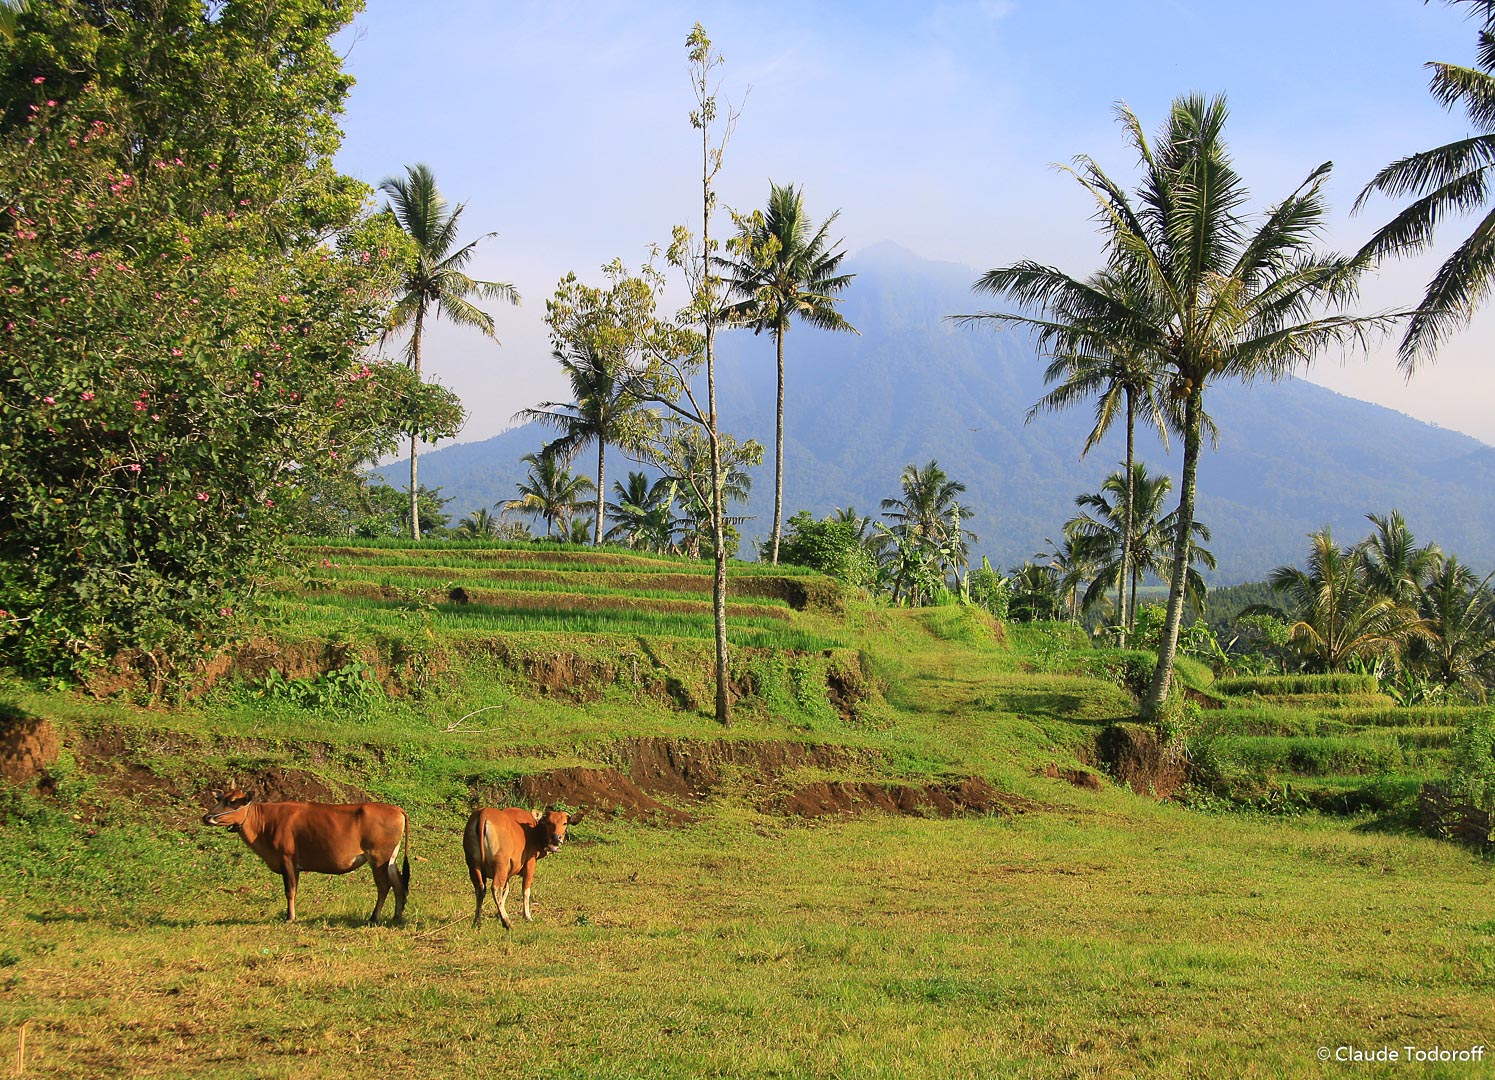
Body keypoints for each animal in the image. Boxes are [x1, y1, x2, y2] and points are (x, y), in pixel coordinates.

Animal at [201, 783, 409, 921]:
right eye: (219, 799)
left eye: (232, 801)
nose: (207, 817)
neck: (266, 822)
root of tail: (396, 808)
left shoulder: (287, 859)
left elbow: (289, 890)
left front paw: (290, 917)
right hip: (390, 858)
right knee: (399, 883)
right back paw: (396, 916)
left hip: (378, 857)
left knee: (384, 886)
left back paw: (374, 917)